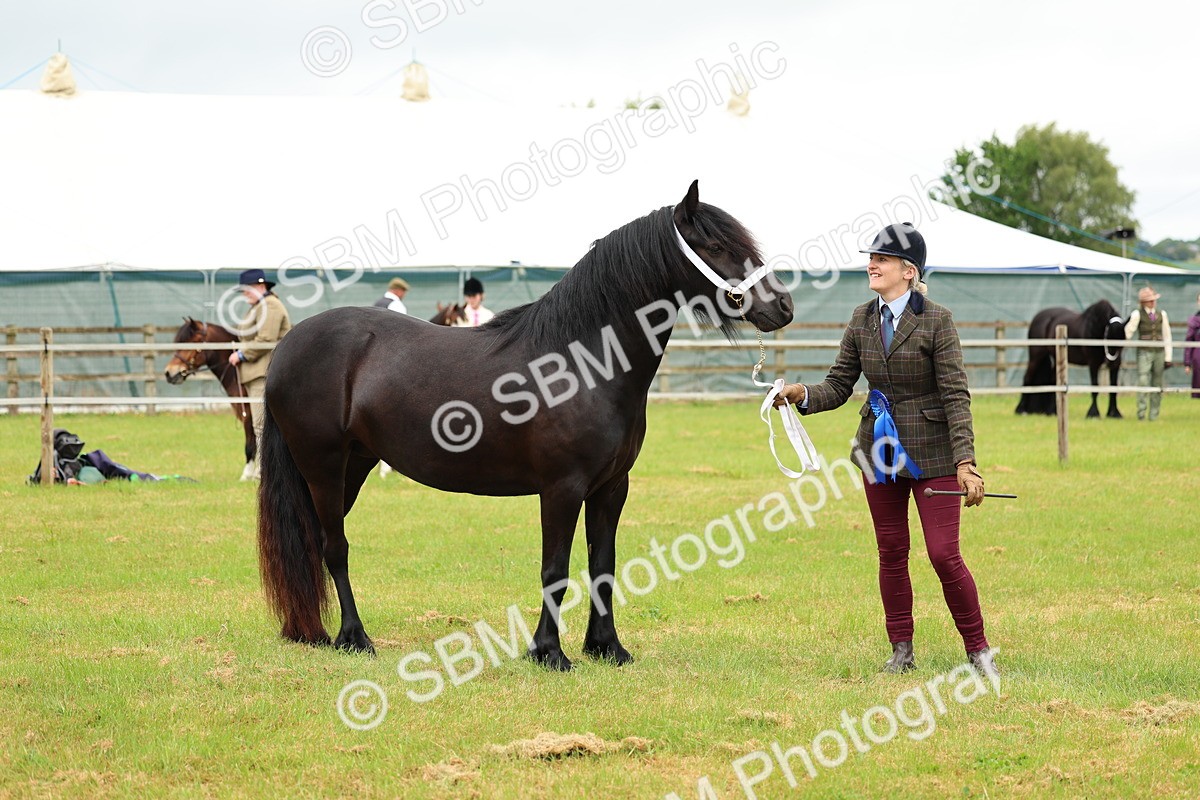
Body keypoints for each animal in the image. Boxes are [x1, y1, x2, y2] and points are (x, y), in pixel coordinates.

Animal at [256, 181, 794, 669]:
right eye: (717, 247)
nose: (783, 307)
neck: (583, 362)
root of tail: (290, 344)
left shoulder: (611, 487)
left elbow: (603, 565)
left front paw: (607, 648)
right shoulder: (561, 488)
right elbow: (555, 568)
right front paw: (549, 653)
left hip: (355, 465)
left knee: (313, 541)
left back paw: (312, 632)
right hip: (323, 467)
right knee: (335, 547)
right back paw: (354, 637)